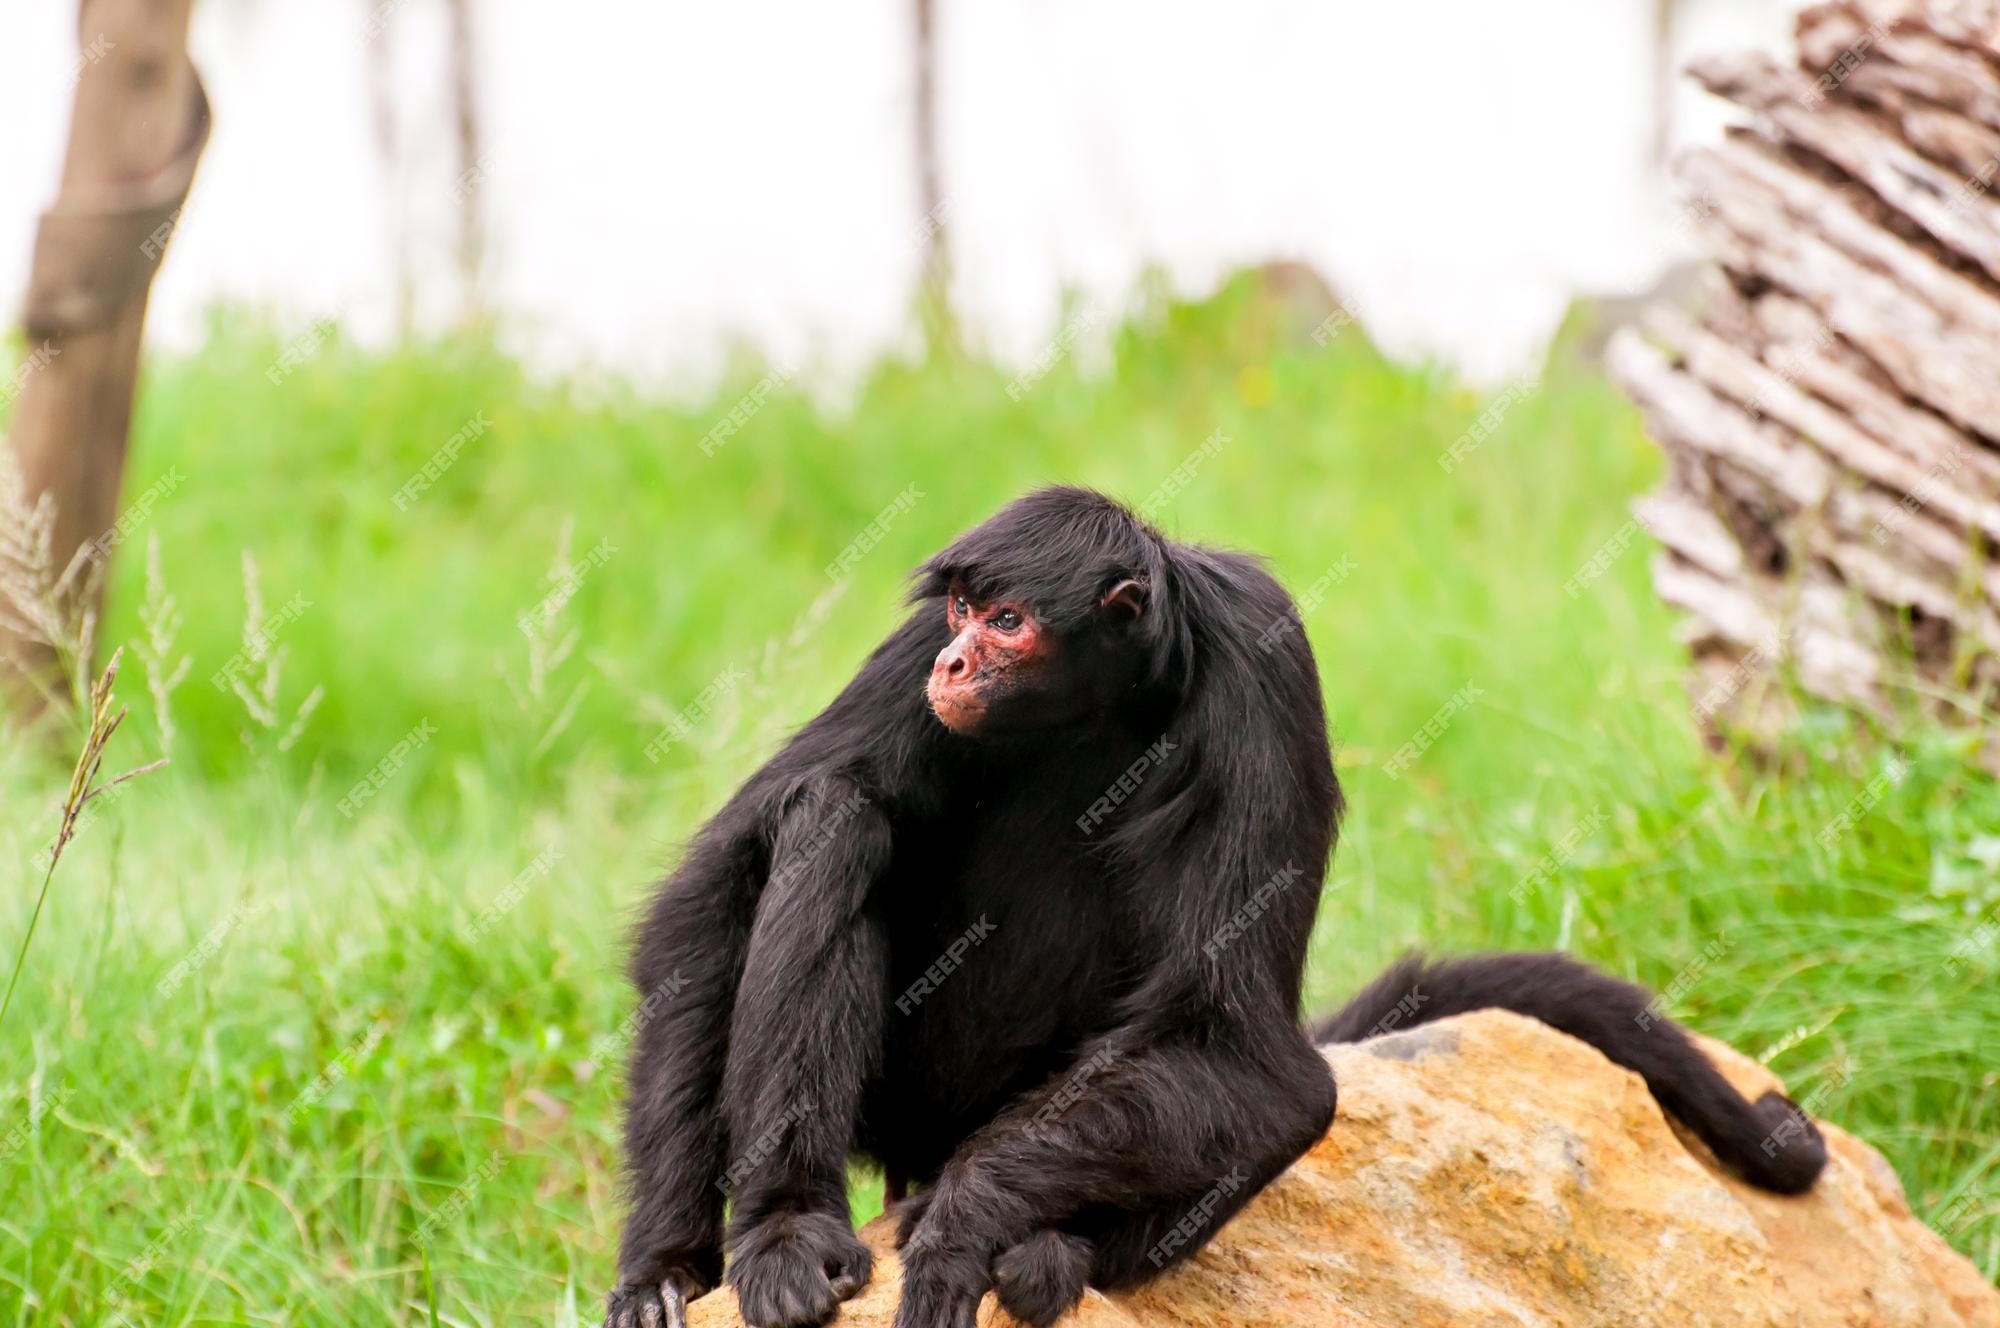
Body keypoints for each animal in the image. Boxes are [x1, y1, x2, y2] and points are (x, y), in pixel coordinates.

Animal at [600, 488, 1824, 1328]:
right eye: (957, 609)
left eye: (1005, 618)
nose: (956, 660)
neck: (1103, 705)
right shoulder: (907, 663)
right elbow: (707, 899)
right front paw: (664, 1265)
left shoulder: (1261, 659)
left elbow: (1250, 1057)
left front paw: (964, 1224)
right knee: (835, 815)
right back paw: (790, 1227)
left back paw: (1050, 1249)